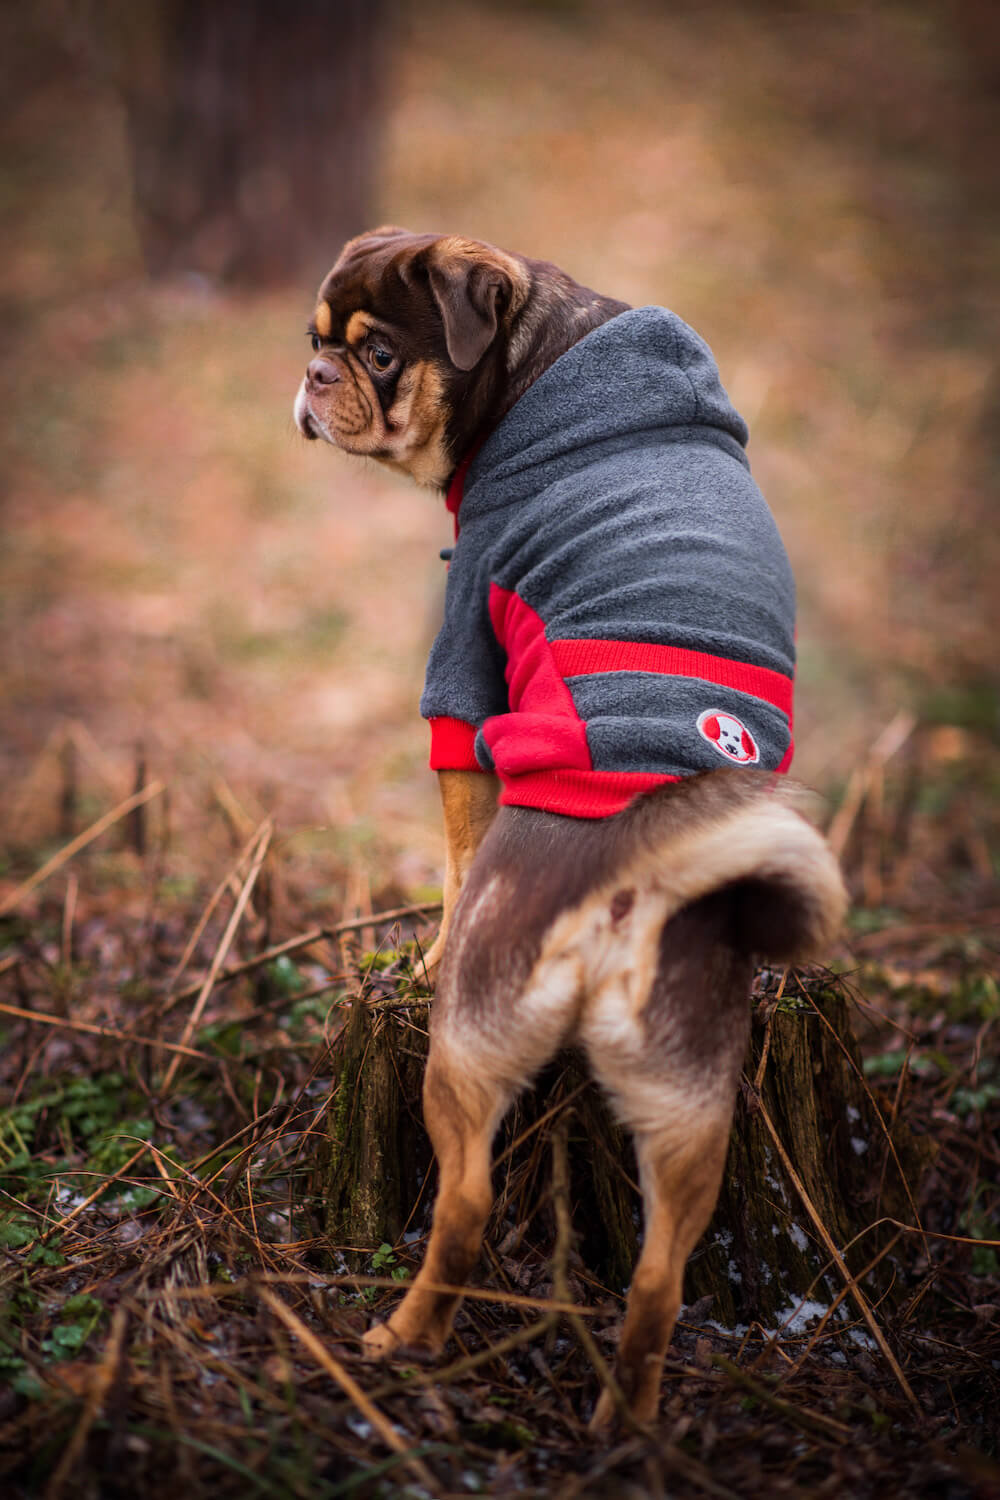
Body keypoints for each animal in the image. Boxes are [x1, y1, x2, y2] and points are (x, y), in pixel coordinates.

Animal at [293, 231, 851, 1428]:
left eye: (378, 354)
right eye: (316, 340)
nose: (311, 377)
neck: (536, 361)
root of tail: (643, 873)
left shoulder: (465, 665)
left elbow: (457, 849)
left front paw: (427, 947)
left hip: (466, 1054)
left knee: (463, 1206)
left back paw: (403, 1336)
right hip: (689, 1102)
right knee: (659, 1276)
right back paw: (625, 1422)